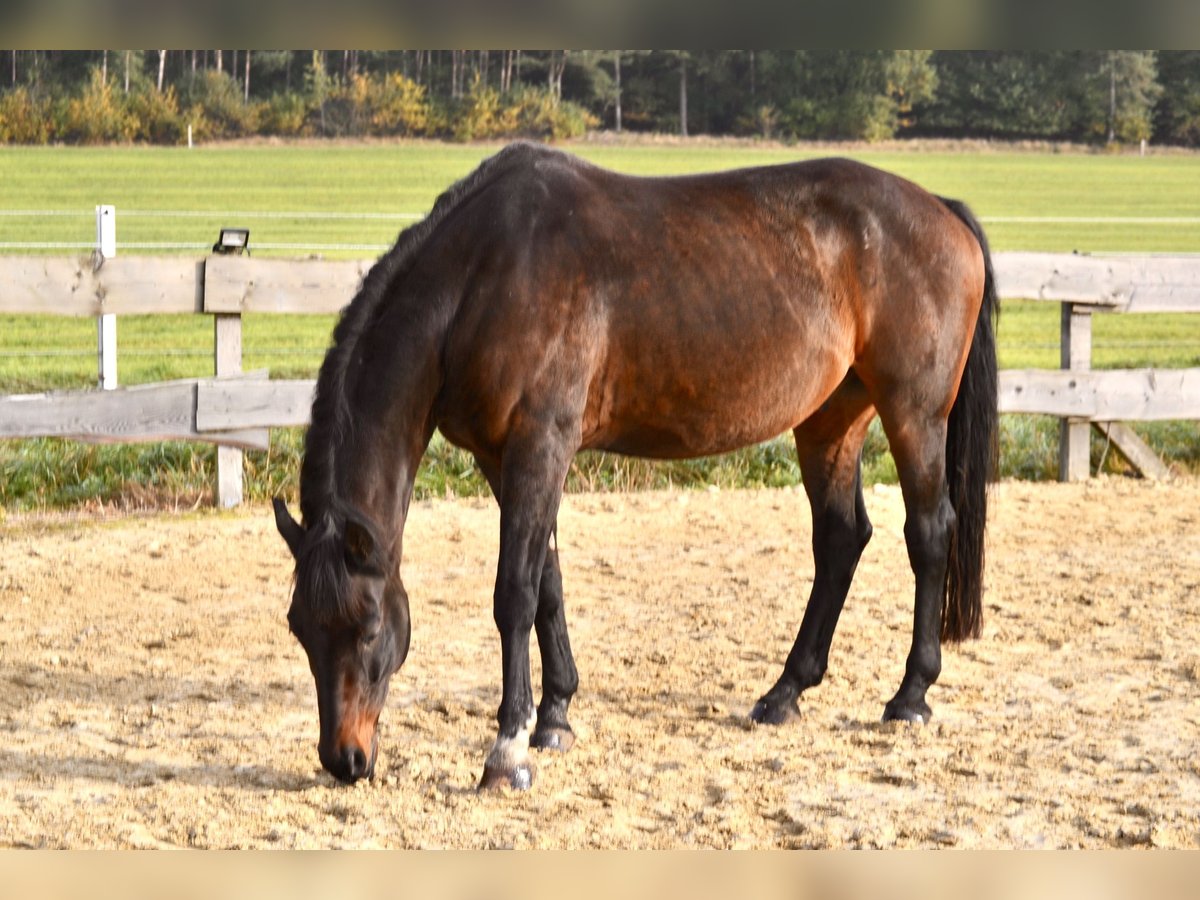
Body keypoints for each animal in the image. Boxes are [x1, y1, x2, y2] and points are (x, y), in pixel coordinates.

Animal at [276, 141, 998, 787]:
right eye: (299, 628)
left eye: (369, 626)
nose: (345, 760)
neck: (483, 274)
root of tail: (942, 211)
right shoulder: (502, 457)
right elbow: (548, 582)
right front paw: (555, 715)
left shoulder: (541, 444)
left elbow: (514, 592)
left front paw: (507, 750)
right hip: (831, 419)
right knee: (842, 539)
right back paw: (785, 693)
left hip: (914, 412)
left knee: (928, 532)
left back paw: (910, 695)